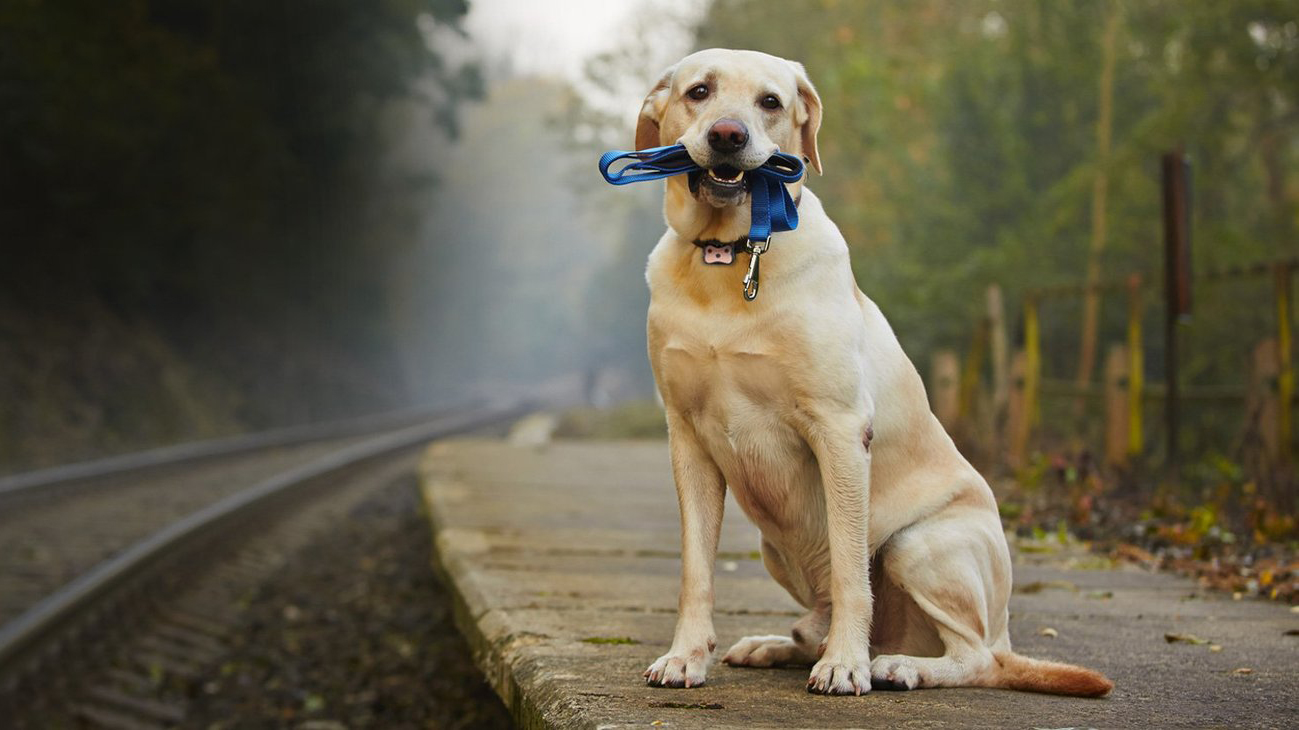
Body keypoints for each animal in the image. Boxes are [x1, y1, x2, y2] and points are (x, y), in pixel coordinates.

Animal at [633, 48, 1111, 696]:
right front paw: (686, 656)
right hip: (773, 546)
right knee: (820, 621)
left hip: (919, 544)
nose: (728, 136)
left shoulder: (839, 430)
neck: (728, 258)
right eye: (699, 92)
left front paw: (844, 664)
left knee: (975, 657)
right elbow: (696, 570)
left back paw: (897, 664)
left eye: (770, 102)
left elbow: (848, 567)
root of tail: (1008, 633)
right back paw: (778, 644)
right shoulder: (687, 438)